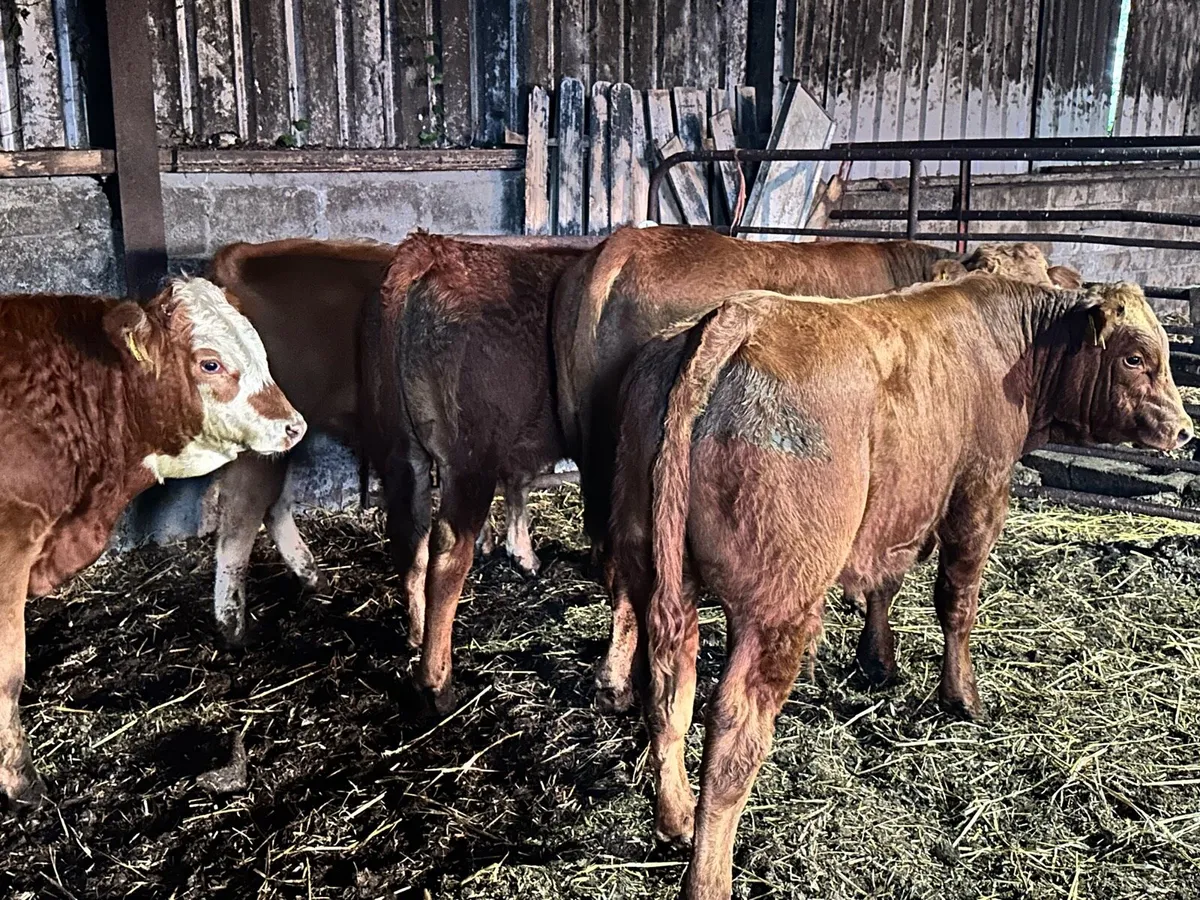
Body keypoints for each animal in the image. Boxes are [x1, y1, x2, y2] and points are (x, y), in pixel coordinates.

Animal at [360, 234, 586, 712]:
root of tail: (430, 250)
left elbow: (517, 484)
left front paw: (518, 551)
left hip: (400, 447)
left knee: (409, 537)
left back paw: (416, 635)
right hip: (469, 455)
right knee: (447, 552)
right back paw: (437, 683)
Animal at [609, 276, 1191, 899]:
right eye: (1135, 357)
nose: (1184, 428)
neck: (1009, 342)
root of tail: (739, 315)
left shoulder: (898, 510)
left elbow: (883, 585)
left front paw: (879, 662)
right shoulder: (977, 494)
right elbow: (957, 602)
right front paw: (962, 697)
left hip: (660, 578)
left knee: (668, 693)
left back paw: (674, 817)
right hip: (777, 608)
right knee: (733, 732)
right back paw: (710, 875)